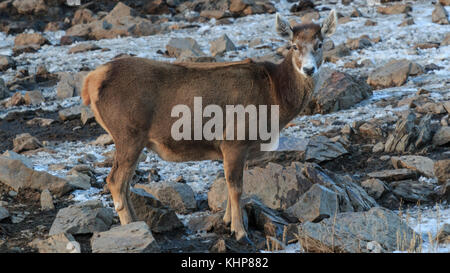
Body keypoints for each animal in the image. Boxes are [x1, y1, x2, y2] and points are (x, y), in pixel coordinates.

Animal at [81, 10, 336, 243]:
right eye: (293, 46)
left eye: (320, 44)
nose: (309, 69)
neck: (275, 96)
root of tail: (90, 82)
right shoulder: (234, 138)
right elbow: (236, 187)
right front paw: (239, 231)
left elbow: (230, 183)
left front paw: (227, 220)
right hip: (128, 132)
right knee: (115, 181)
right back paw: (131, 228)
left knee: (125, 183)